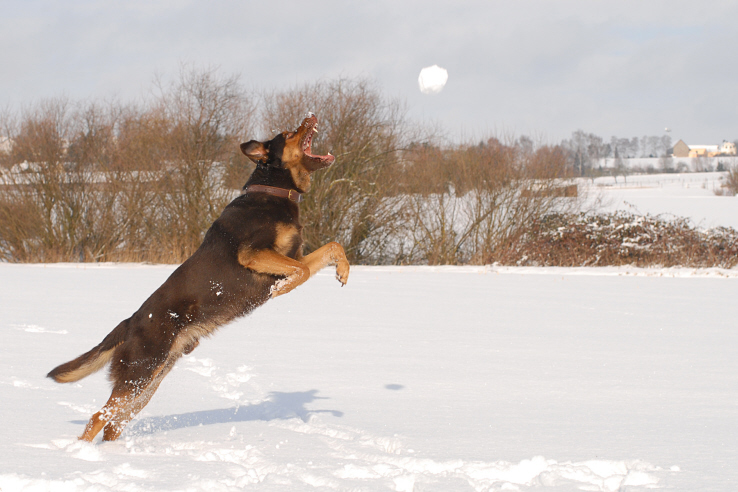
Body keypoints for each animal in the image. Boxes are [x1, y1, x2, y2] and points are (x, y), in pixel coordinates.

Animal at [47, 114, 350, 442]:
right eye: (290, 132)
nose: (310, 116)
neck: (273, 190)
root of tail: (129, 323)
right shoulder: (253, 254)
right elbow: (302, 272)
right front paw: (283, 288)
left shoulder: (294, 256)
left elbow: (333, 247)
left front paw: (343, 271)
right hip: (140, 372)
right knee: (96, 418)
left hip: (149, 381)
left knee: (113, 424)